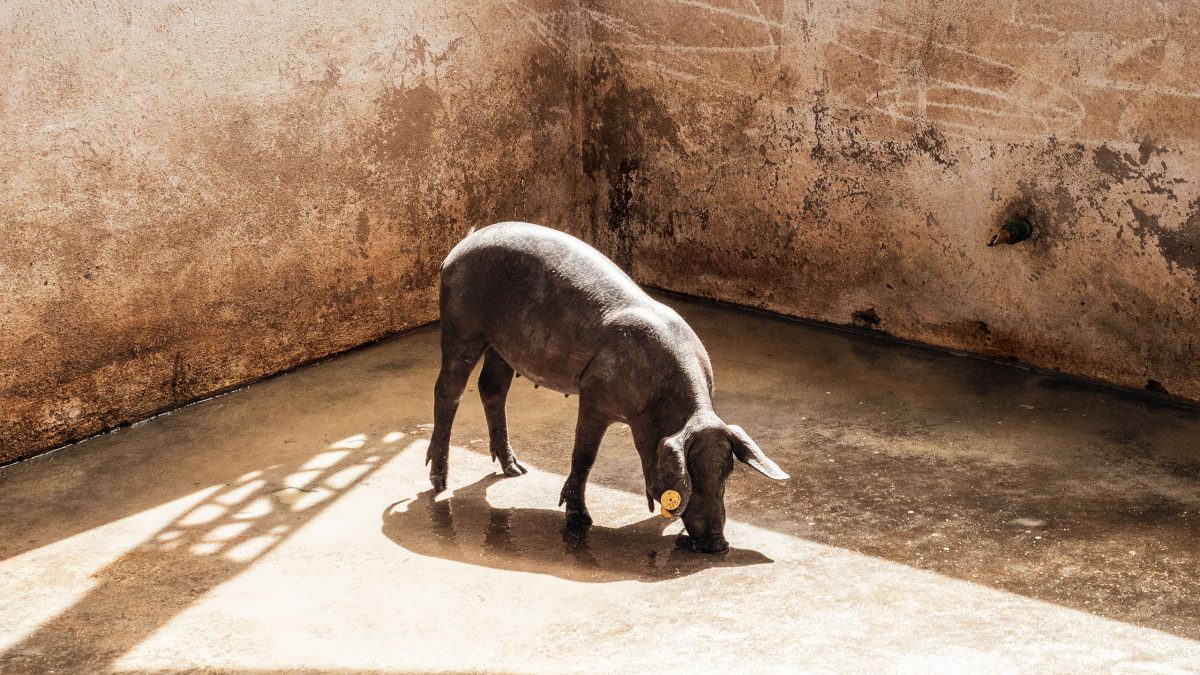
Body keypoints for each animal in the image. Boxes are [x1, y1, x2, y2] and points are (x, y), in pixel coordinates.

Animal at [427, 222, 788, 553]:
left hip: (502, 346)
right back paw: (440, 482)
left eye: (727, 473)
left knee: (491, 388)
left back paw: (516, 470)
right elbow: (584, 456)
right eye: (692, 475)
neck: (663, 408)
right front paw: (579, 521)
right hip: (461, 326)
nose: (718, 544)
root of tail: (462, 245)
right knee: (448, 390)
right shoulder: (594, 397)